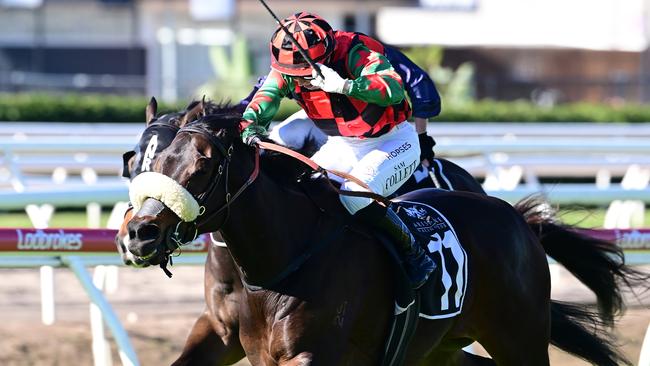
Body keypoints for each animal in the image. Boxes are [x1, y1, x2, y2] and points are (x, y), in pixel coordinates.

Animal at [123, 110, 632, 364]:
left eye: (203, 166)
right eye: (140, 161)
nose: (139, 234)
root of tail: (519, 221)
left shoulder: (309, 355)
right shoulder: (224, 336)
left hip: (519, 339)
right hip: (437, 351)